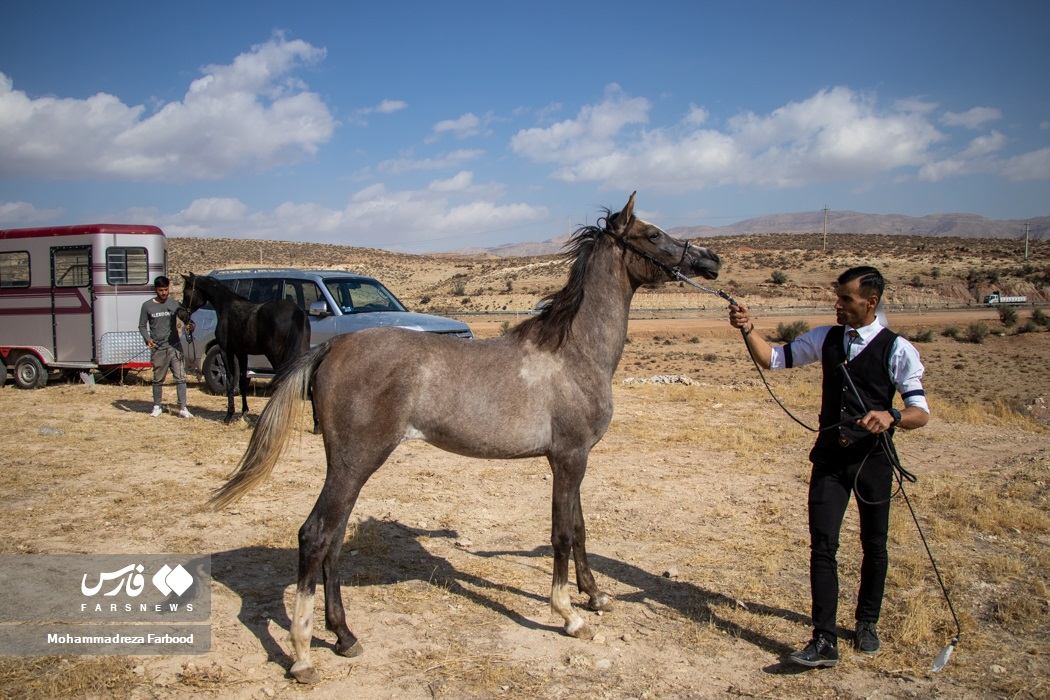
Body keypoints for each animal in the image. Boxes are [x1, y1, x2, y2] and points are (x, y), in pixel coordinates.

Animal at [213, 193, 722, 684]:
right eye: (652, 234)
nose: (711, 260)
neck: (573, 353)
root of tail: (331, 346)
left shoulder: (572, 460)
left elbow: (579, 530)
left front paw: (594, 597)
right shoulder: (569, 458)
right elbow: (561, 534)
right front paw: (569, 616)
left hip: (347, 468)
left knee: (333, 541)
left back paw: (344, 636)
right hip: (355, 462)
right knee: (315, 535)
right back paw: (303, 657)